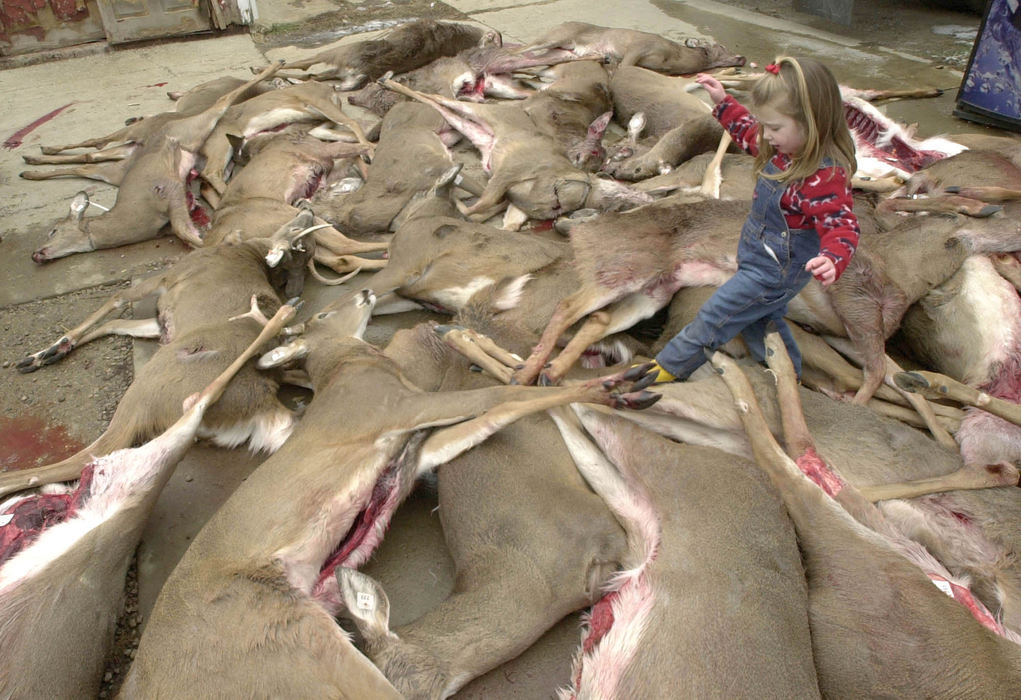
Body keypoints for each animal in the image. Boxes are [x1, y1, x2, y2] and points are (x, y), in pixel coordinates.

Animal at [121, 287, 653, 697]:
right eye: (323, 314)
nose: (363, 292)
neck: (354, 369)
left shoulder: (413, 448)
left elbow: (490, 417)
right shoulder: (399, 410)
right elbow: (506, 397)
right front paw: (615, 388)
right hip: (302, 644)